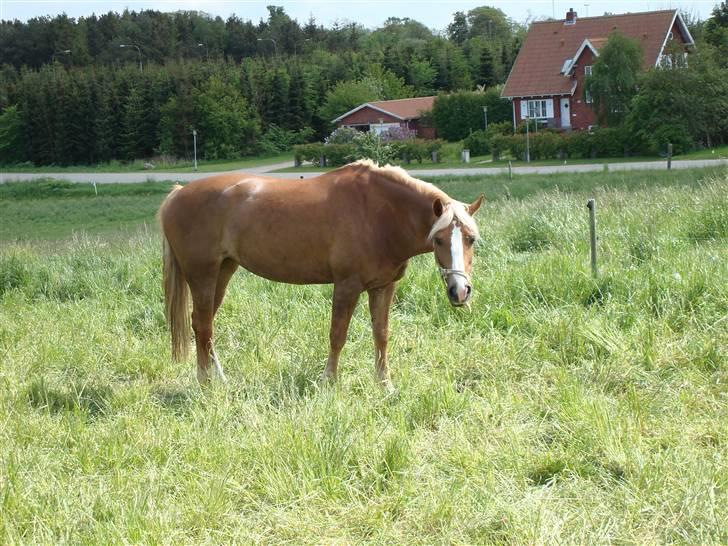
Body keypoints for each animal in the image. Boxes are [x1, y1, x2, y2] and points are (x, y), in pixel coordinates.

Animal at [158, 158, 484, 386]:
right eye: (438, 239)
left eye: (471, 239)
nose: (460, 291)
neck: (377, 213)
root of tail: (176, 195)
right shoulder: (347, 286)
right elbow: (337, 335)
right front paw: (329, 382)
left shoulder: (383, 286)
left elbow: (381, 335)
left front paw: (385, 385)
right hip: (202, 274)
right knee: (202, 325)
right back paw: (205, 384)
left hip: (224, 271)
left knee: (203, 325)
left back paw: (220, 378)